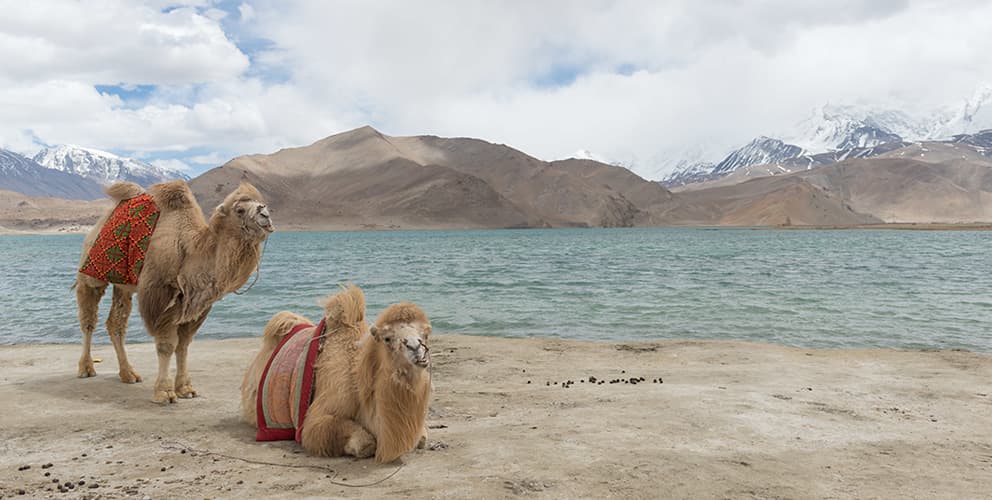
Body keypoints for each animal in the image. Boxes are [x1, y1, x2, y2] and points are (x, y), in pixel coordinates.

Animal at [75, 180, 274, 402]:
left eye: (262, 203)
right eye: (240, 210)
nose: (265, 214)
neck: (190, 253)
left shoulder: (195, 304)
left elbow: (184, 345)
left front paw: (186, 388)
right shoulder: (160, 295)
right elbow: (166, 345)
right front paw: (164, 392)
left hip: (122, 286)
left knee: (116, 324)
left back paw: (128, 374)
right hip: (91, 273)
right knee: (88, 320)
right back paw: (86, 368)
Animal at [242, 284, 432, 462]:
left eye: (425, 334)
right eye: (387, 338)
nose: (416, 348)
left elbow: (422, 437)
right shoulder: (316, 420)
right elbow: (364, 443)